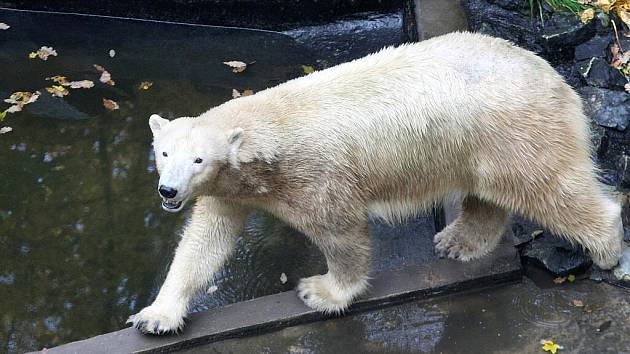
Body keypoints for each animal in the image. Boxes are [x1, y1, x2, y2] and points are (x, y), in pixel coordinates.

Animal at [126, 31, 624, 334]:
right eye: (164, 153)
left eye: (198, 159)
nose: (168, 192)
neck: (268, 138)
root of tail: (554, 77)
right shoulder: (230, 190)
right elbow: (205, 242)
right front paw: (155, 316)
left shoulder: (313, 175)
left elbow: (340, 232)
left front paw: (320, 291)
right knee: (487, 195)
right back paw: (458, 241)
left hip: (515, 130)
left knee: (548, 186)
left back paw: (605, 248)